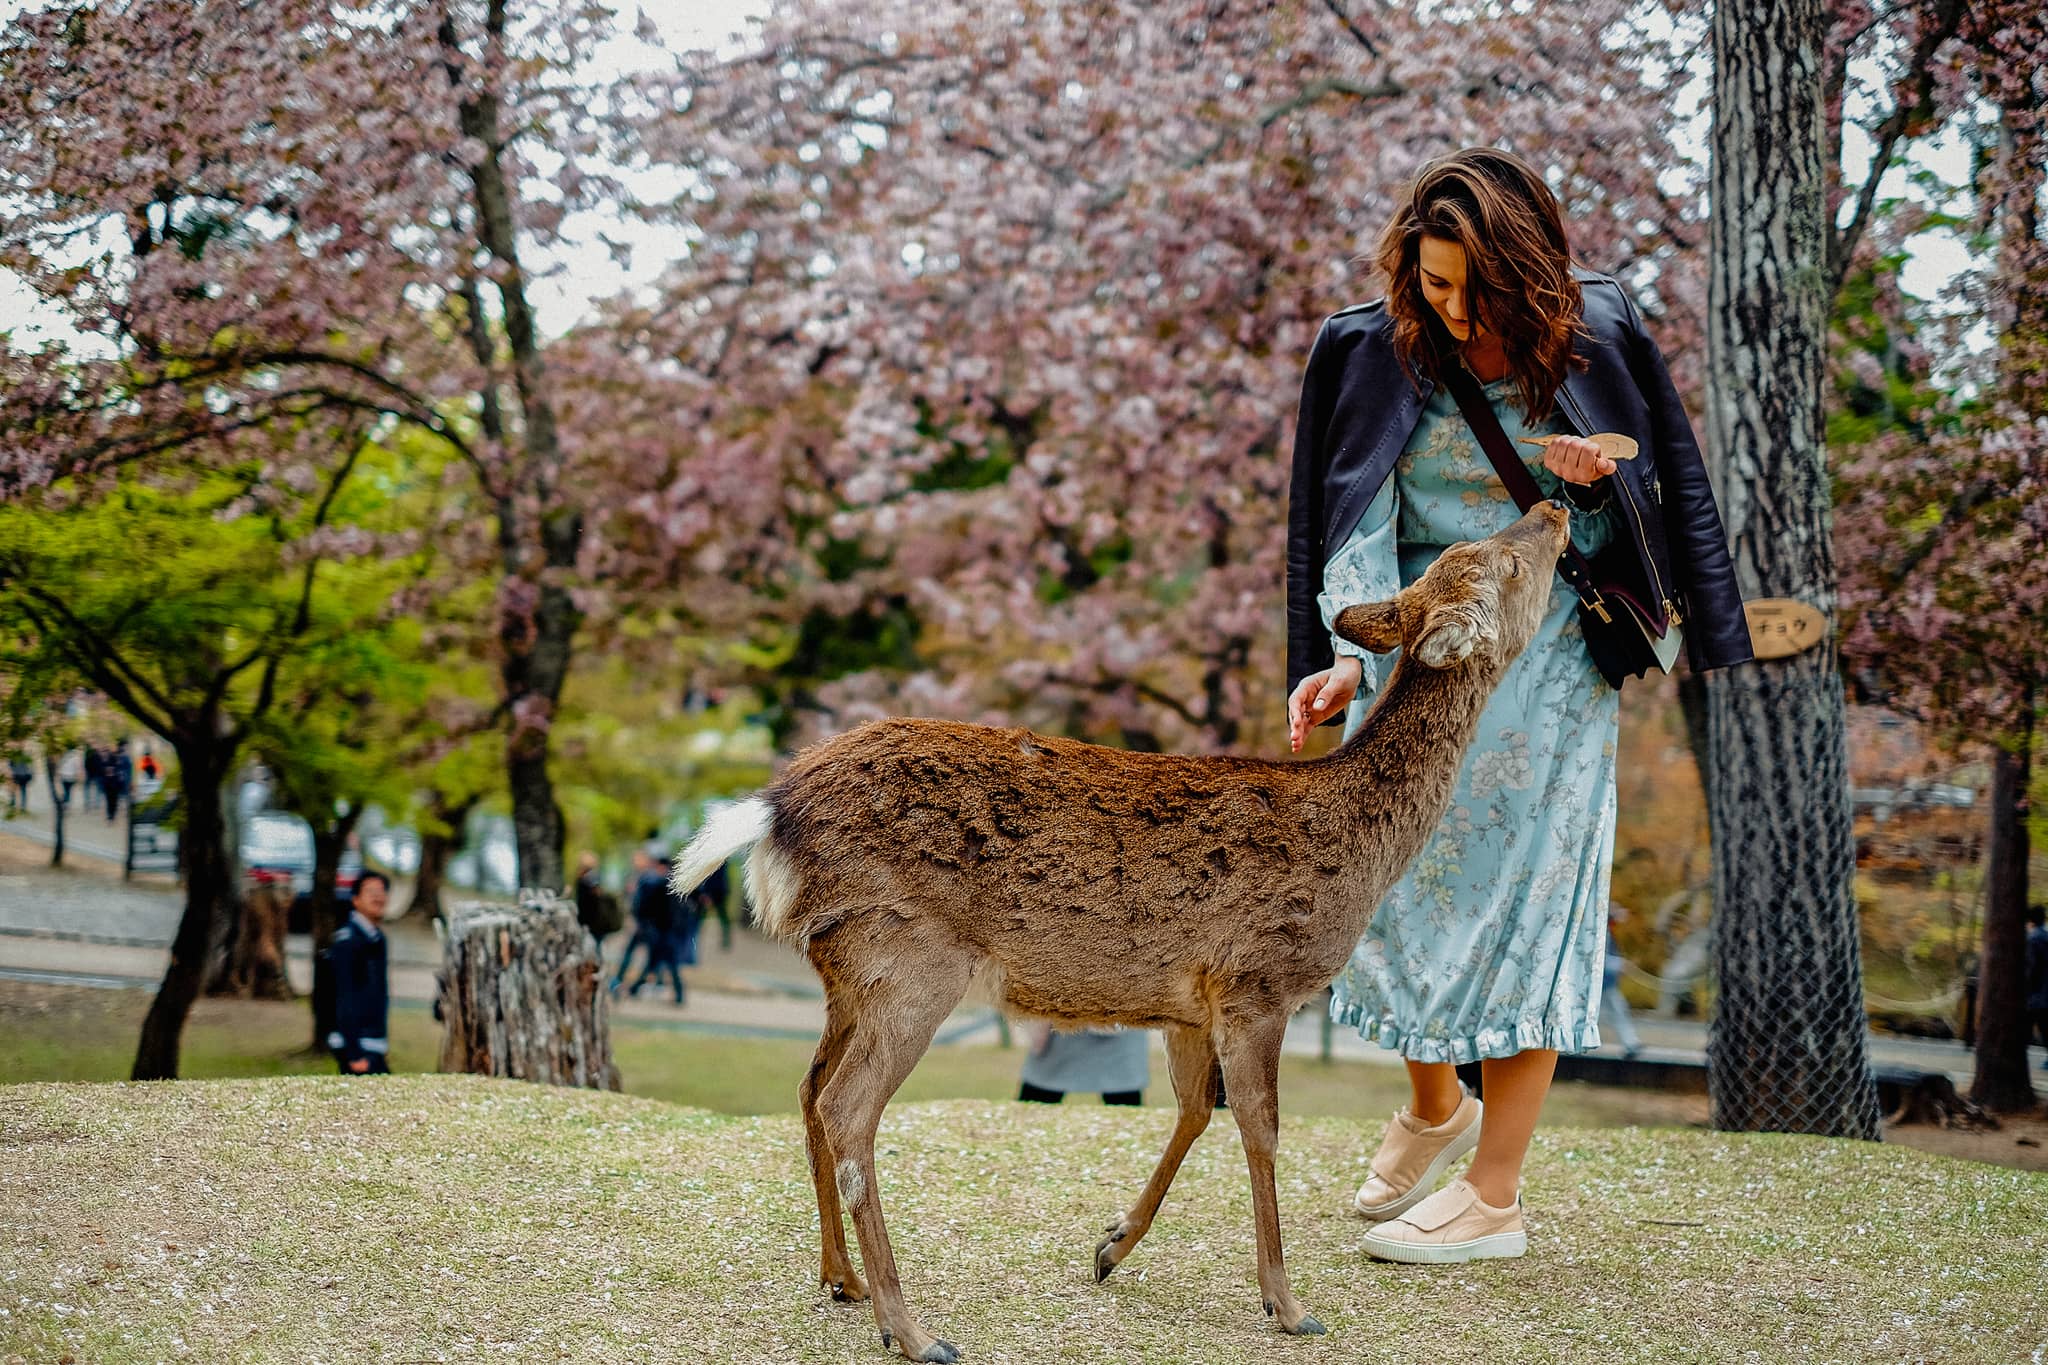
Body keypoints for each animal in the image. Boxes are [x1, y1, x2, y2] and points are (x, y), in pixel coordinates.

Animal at [671, 501, 1573, 1362]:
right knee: (849, 1107)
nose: (1555, 506)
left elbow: (1194, 1110)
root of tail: (770, 813)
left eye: (1474, 554)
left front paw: (1111, 1245)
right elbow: (1261, 1128)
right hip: (910, 958)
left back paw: (843, 1279)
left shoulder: (1187, 1001)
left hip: (847, 971)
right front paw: (1287, 1305)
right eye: (1504, 561)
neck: (1361, 850)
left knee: (808, 1088)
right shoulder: (1259, 981)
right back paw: (915, 1329)